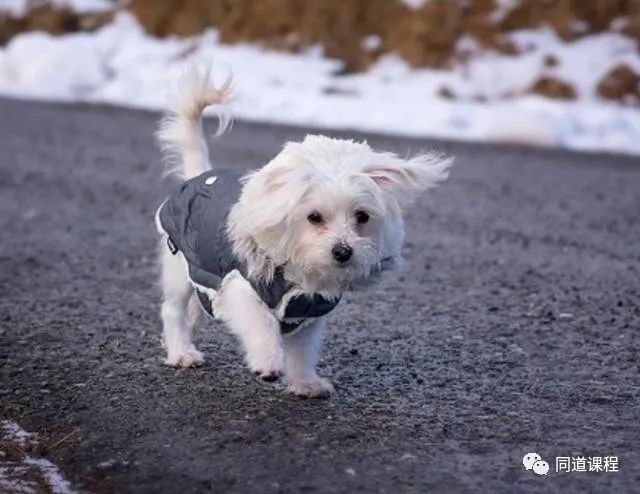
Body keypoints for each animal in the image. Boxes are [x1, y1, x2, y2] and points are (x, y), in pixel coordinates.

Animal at [155, 66, 452, 398]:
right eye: (314, 217)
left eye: (362, 216)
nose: (343, 251)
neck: (300, 277)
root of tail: (198, 176)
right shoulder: (241, 288)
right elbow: (262, 325)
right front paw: (268, 362)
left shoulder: (307, 313)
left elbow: (302, 352)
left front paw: (305, 383)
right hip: (177, 266)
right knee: (173, 310)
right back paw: (181, 351)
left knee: (196, 304)